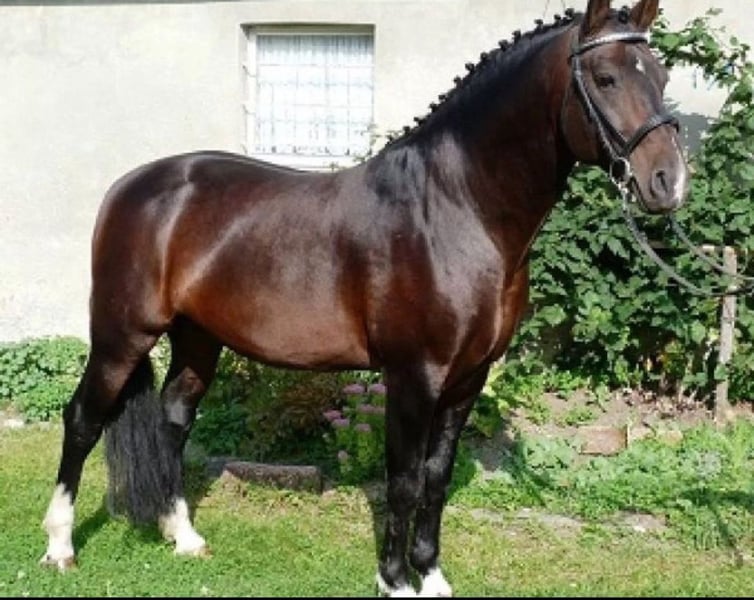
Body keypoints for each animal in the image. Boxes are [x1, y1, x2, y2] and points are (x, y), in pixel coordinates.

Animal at [40, 0, 688, 595]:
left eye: (660, 76)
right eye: (604, 78)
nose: (669, 182)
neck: (455, 209)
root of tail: (130, 186)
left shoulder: (468, 378)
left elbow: (436, 478)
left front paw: (431, 575)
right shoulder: (414, 375)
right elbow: (402, 481)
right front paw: (395, 579)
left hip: (198, 339)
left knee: (174, 418)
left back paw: (185, 537)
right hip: (122, 334)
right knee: (83, 420)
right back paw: (60, 546)